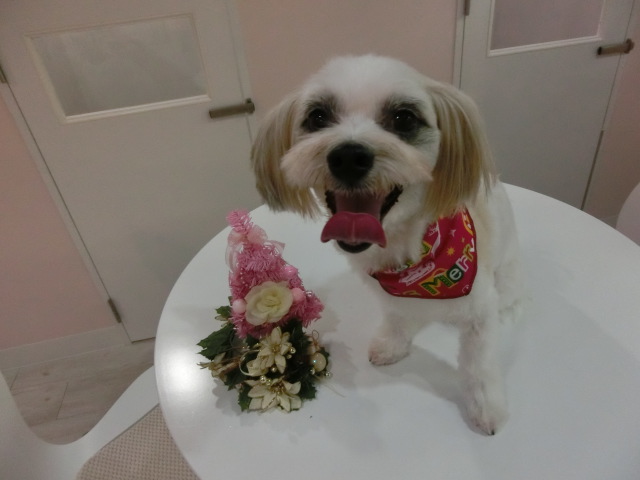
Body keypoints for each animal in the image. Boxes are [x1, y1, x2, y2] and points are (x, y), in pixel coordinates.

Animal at [250, 55, 524, 435]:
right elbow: (396, 318)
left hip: (507, 272)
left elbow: (479, 364)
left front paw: (486, 407)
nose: (348, 156)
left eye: (404, 118)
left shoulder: (479, 311)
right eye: (318, 116)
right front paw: (393, 345)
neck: (411, 260)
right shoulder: (390, 295)